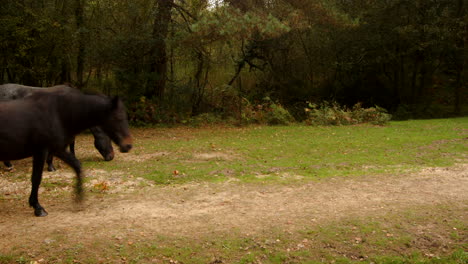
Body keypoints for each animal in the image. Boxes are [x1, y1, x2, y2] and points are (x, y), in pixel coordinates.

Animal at [0, 88, 132, 217]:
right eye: (118, 118)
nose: (128, 145)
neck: (59, 113)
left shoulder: (58, 149)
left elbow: (77, 166)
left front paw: (79, 197)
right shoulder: (40, 151)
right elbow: (36, 179)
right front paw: (37, 207)